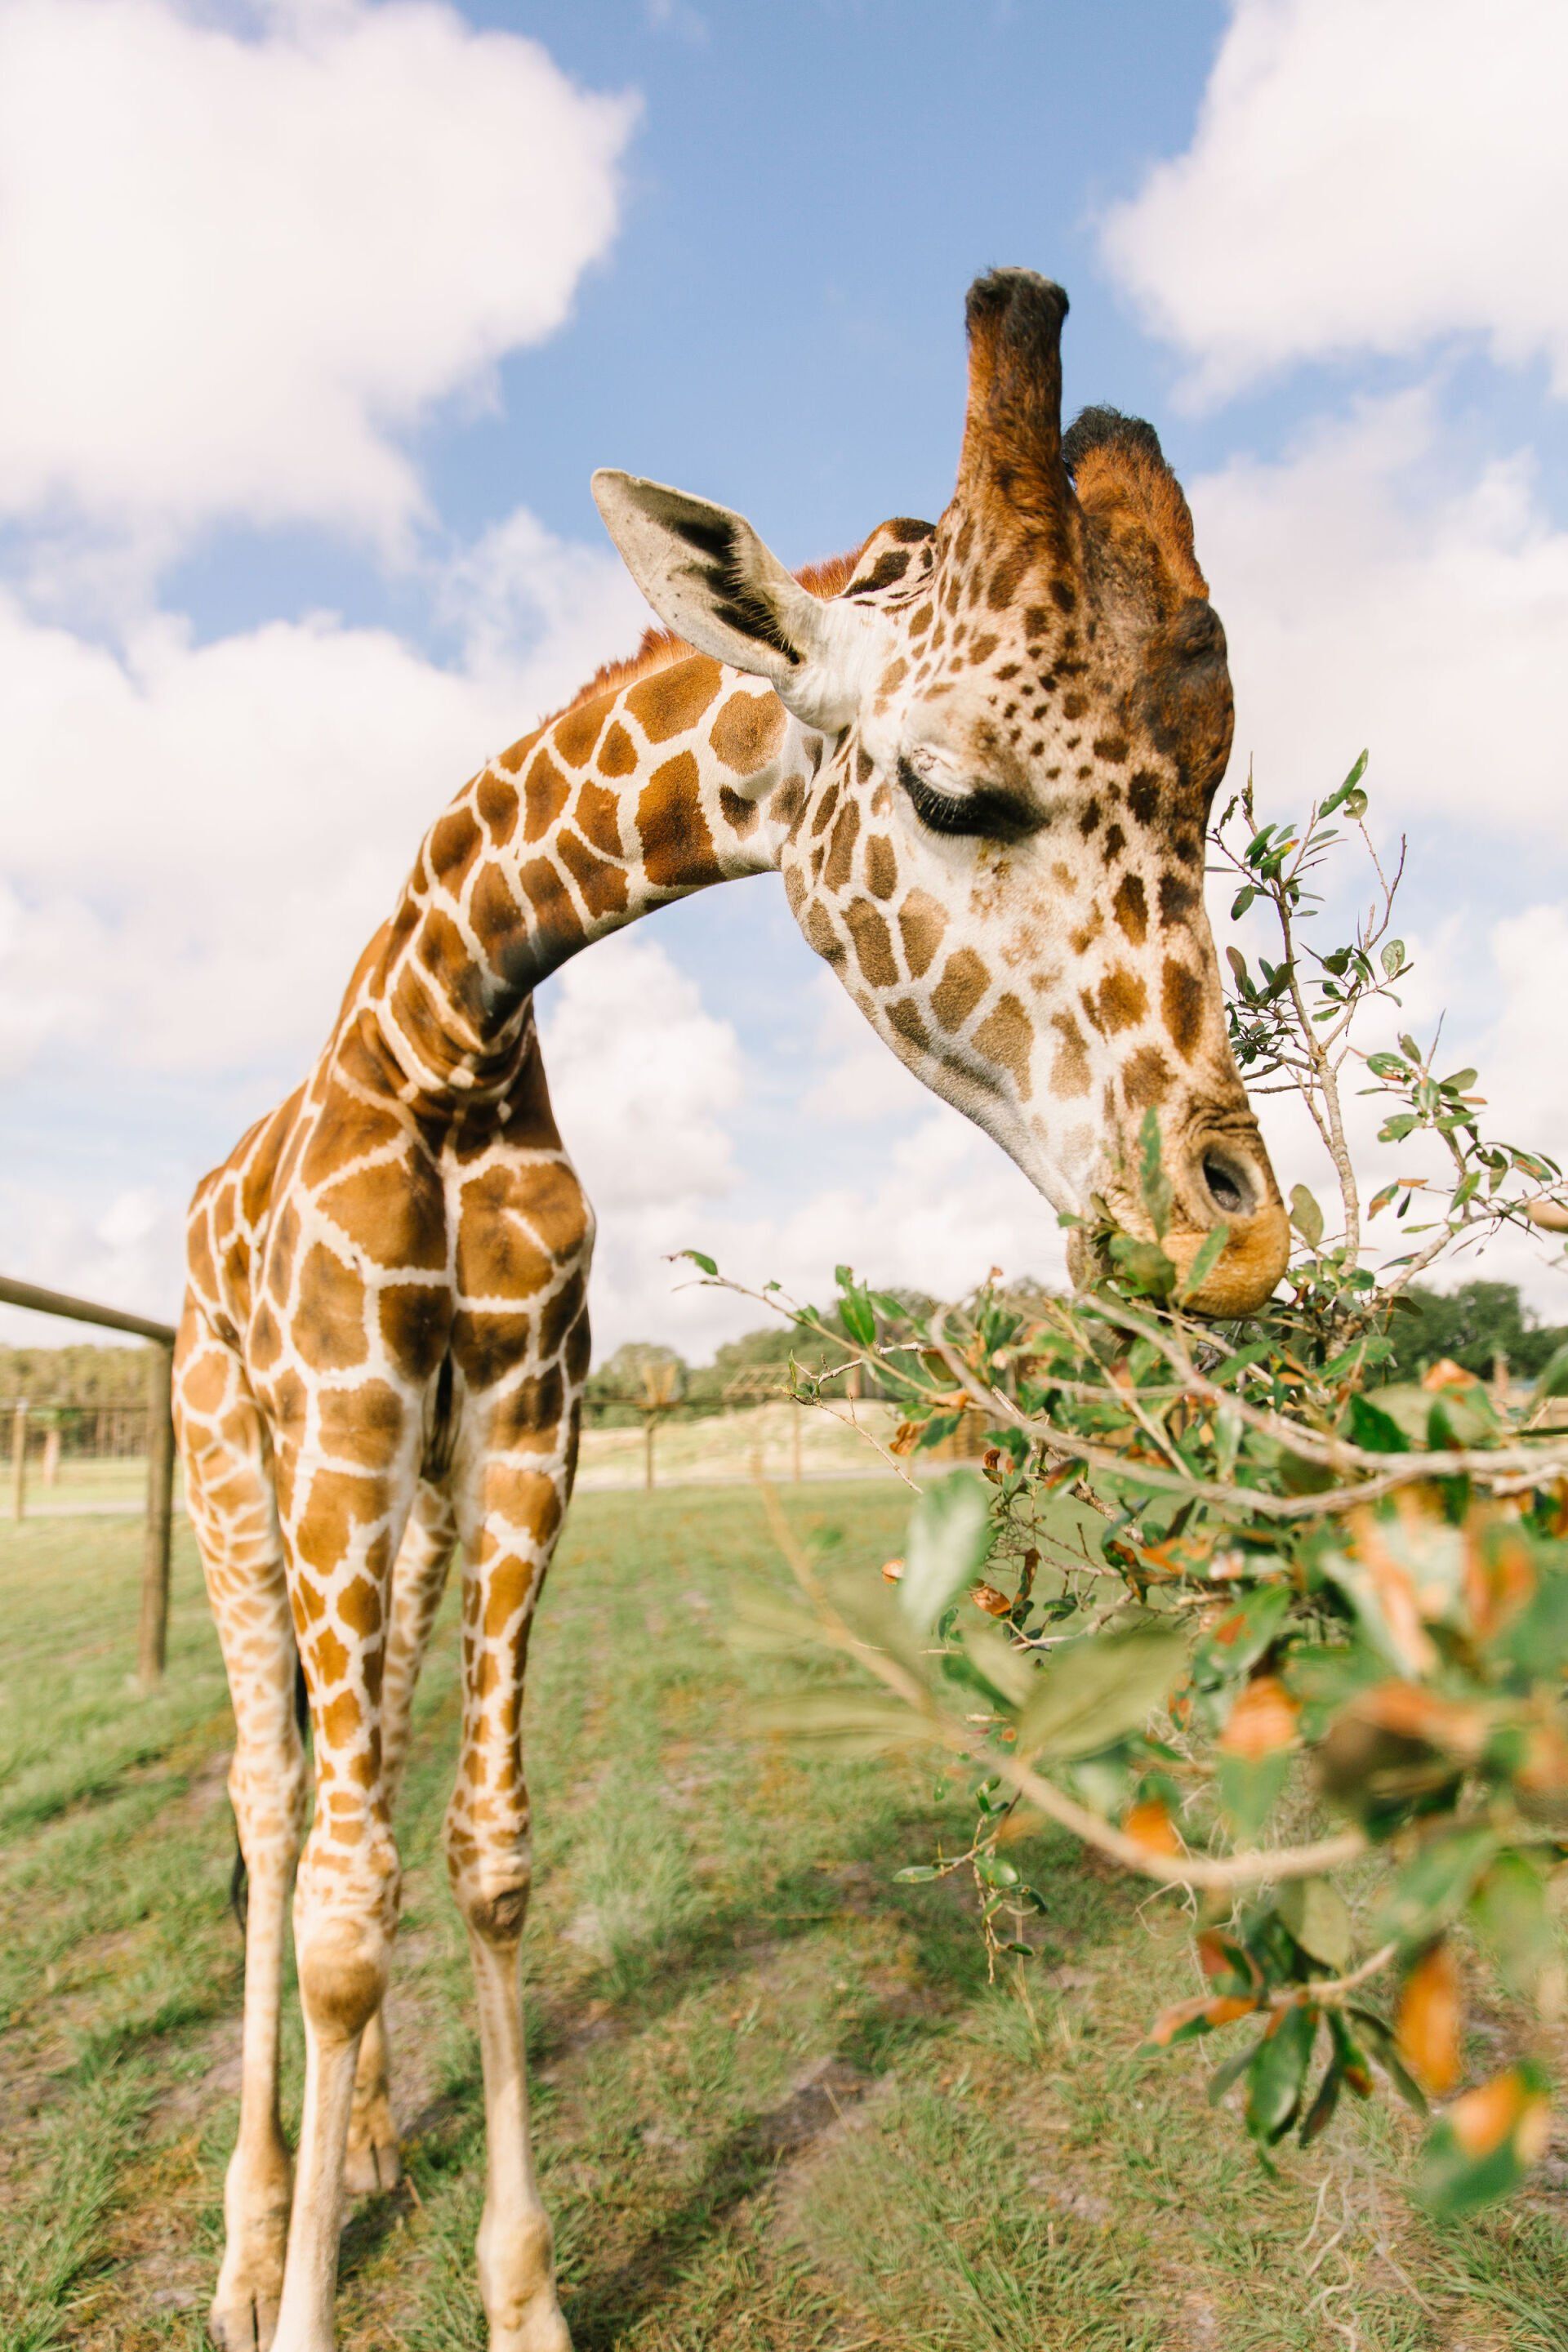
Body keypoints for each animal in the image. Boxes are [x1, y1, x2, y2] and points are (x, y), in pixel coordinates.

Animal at [174, 268, 1289, 2352]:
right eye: (951, 790)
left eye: (1203, 801)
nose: (1234, 1238)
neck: (449, 1033)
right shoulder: (340, 1416)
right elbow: (345, 1908)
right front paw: (289, 2299)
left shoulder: (528, 1429)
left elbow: (485, 1859)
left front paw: (520, 2291)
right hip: (236, 1458)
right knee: (278, 1803)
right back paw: (253, 2217)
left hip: (406, 1506)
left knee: (356, 1777)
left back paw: (354, 2157)